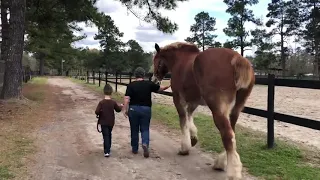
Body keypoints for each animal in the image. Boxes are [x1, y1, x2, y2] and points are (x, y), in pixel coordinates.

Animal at [152, 41, 255, 179]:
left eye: (156, 61)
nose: (154, 81)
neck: (180, 60)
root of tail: (238, 59)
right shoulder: (194, 101)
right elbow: (189, 116)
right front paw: (193, 138)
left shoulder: (178, 99)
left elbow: (183, 120)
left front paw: (184, 148)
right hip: (236, 110)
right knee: (231, 133)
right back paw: (220, 163)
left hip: (218, 109)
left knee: (227, 135)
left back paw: (233, 173)